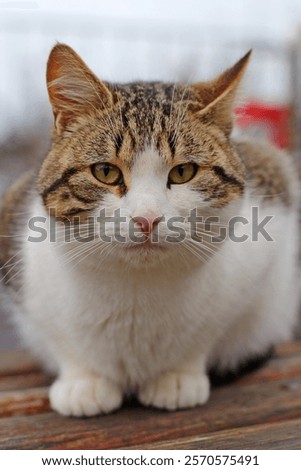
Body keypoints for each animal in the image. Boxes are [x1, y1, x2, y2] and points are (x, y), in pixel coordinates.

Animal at [0, 44, 298, 416]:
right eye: (105, 172)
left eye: (183, 172)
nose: (147, 219)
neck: (136, 291)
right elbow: (61, 339)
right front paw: (84, 380)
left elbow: (210, 330)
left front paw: (179, 376)